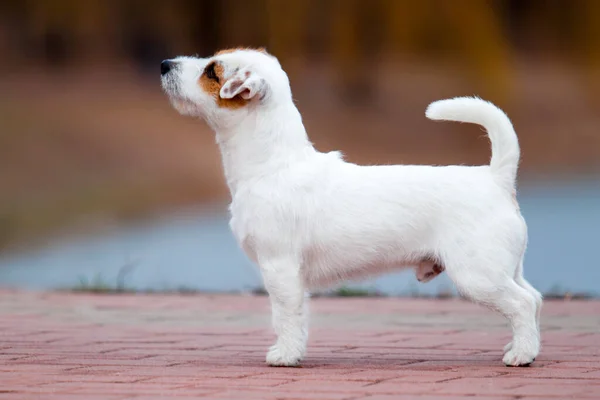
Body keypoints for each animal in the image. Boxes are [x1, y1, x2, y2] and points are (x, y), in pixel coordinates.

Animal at [161, 47, 544, 368]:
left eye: (212, 71)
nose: (165, 64)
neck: (272, 164)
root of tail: (496, 178)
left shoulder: (280, 268)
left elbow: (285, 316)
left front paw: (285, 355)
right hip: (507, 269)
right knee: (534, 298)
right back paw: (522, 347)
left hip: (479, 276)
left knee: (522, 304)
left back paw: (521, 356)